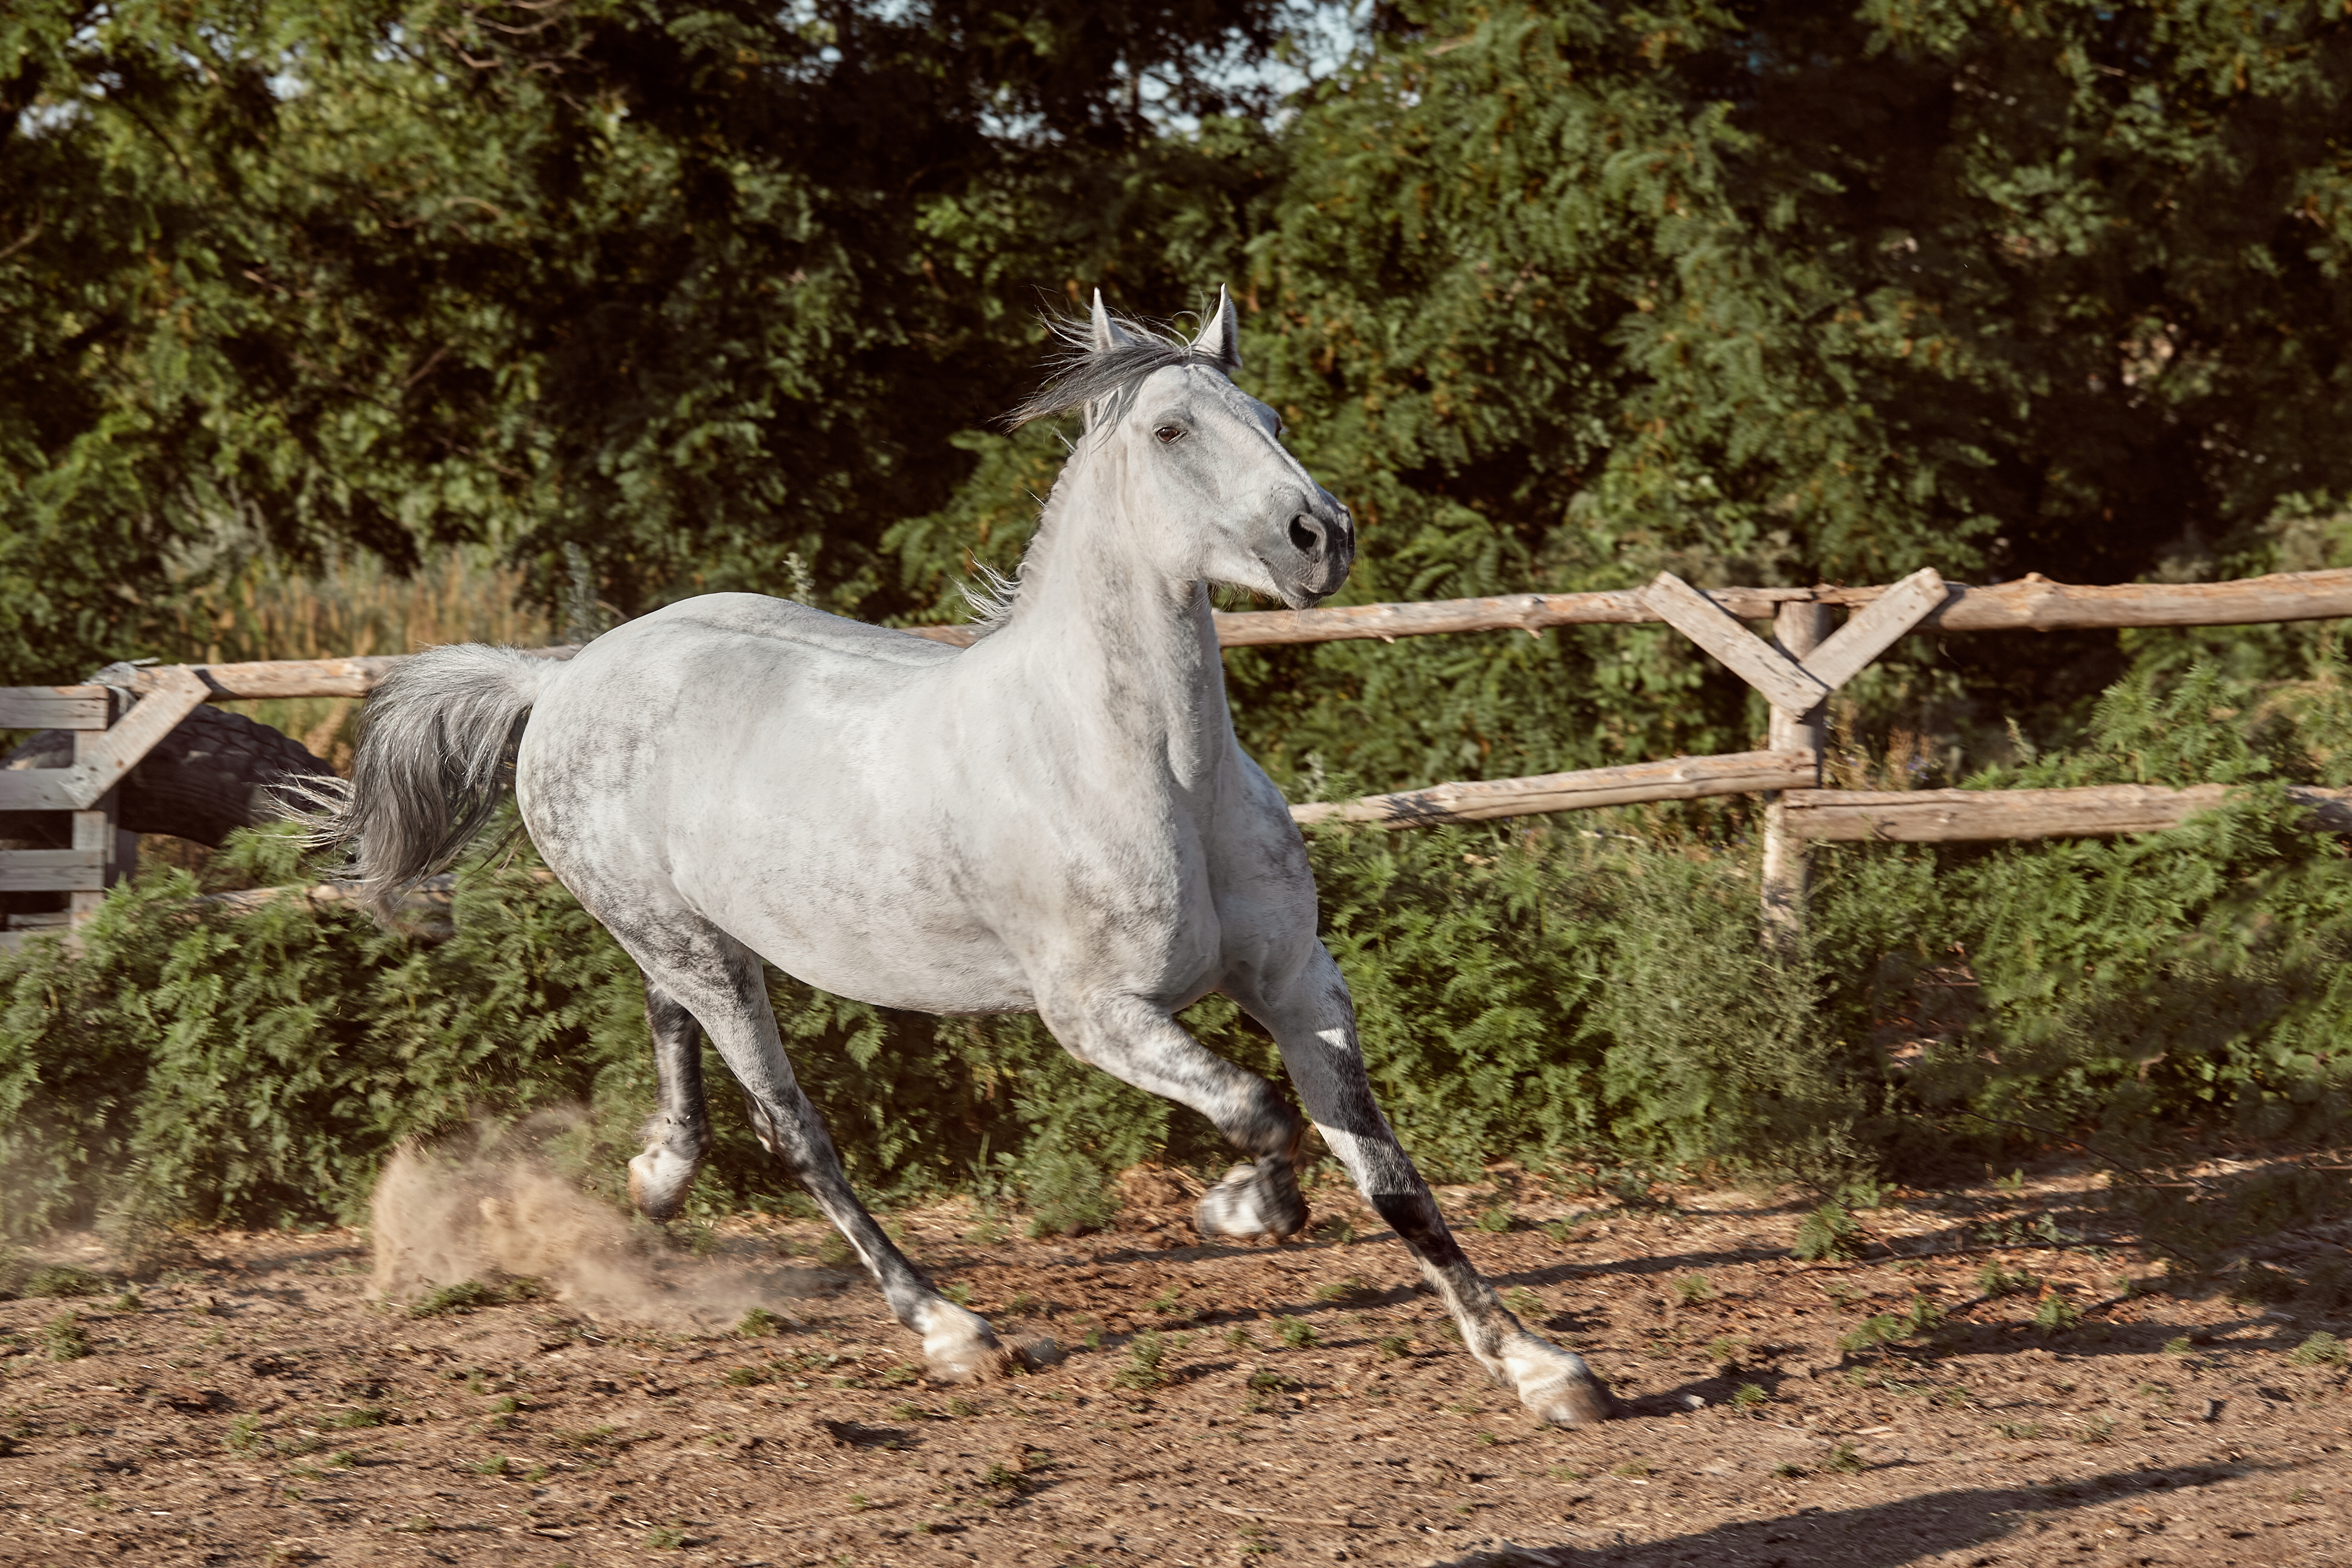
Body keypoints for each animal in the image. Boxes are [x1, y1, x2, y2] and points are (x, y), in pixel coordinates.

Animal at [314, 288, 1613, 1426]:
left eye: (1274, 418)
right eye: (1172, 429)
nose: (1319, 539)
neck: (1146, 767)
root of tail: (564, 676)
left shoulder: (1301, 985)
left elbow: (1389, 1176)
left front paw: (1542, 1367)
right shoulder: (1096, 1014)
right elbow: (1258, 1111)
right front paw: (1241, 1210)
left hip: (691, 935)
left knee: (669, 1025)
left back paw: (657, 1178)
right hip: (700, 949)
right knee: (796, 1130)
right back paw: (948, 1326)